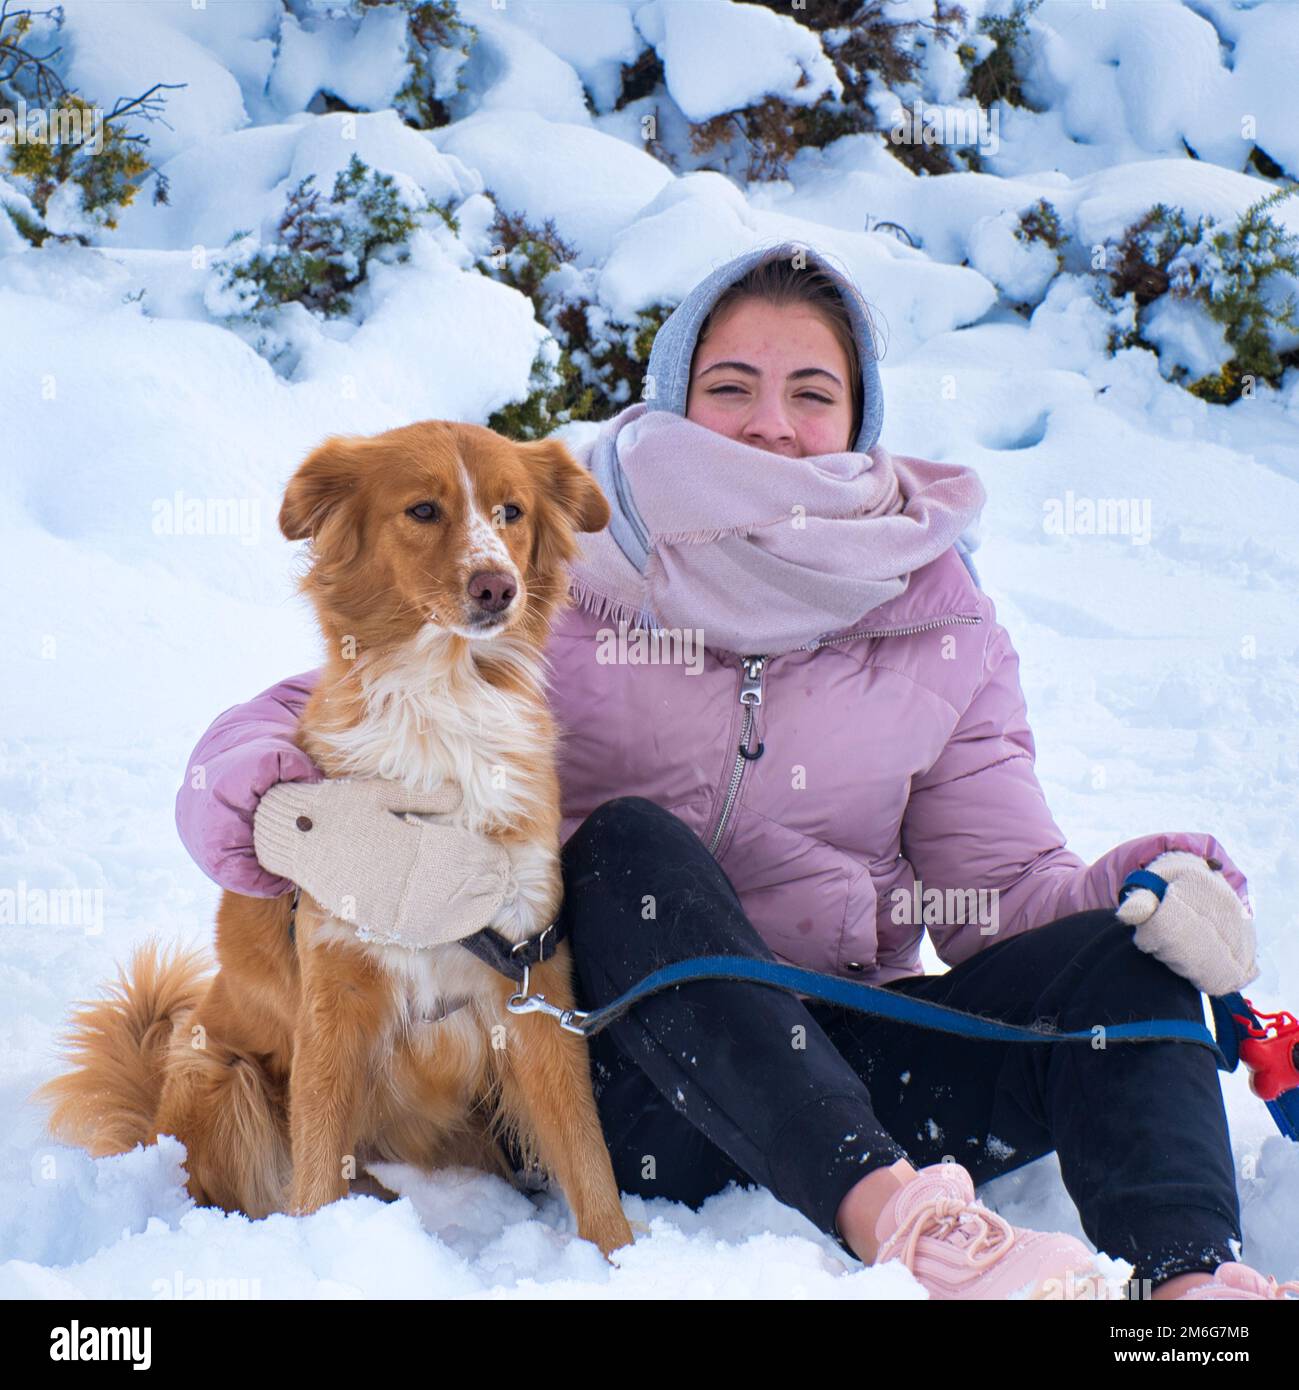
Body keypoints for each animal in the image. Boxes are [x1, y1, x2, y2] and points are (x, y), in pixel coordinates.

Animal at [35, 417, 636, 1256]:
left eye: (511, 512)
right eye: (423, 510)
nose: (496, 587)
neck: (443, 703)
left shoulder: (531, 976)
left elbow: (586, 1155)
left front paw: (622, 1259)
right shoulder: (337, 996)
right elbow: (316, 1167)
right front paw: (322, 1252)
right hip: (221, 1073)